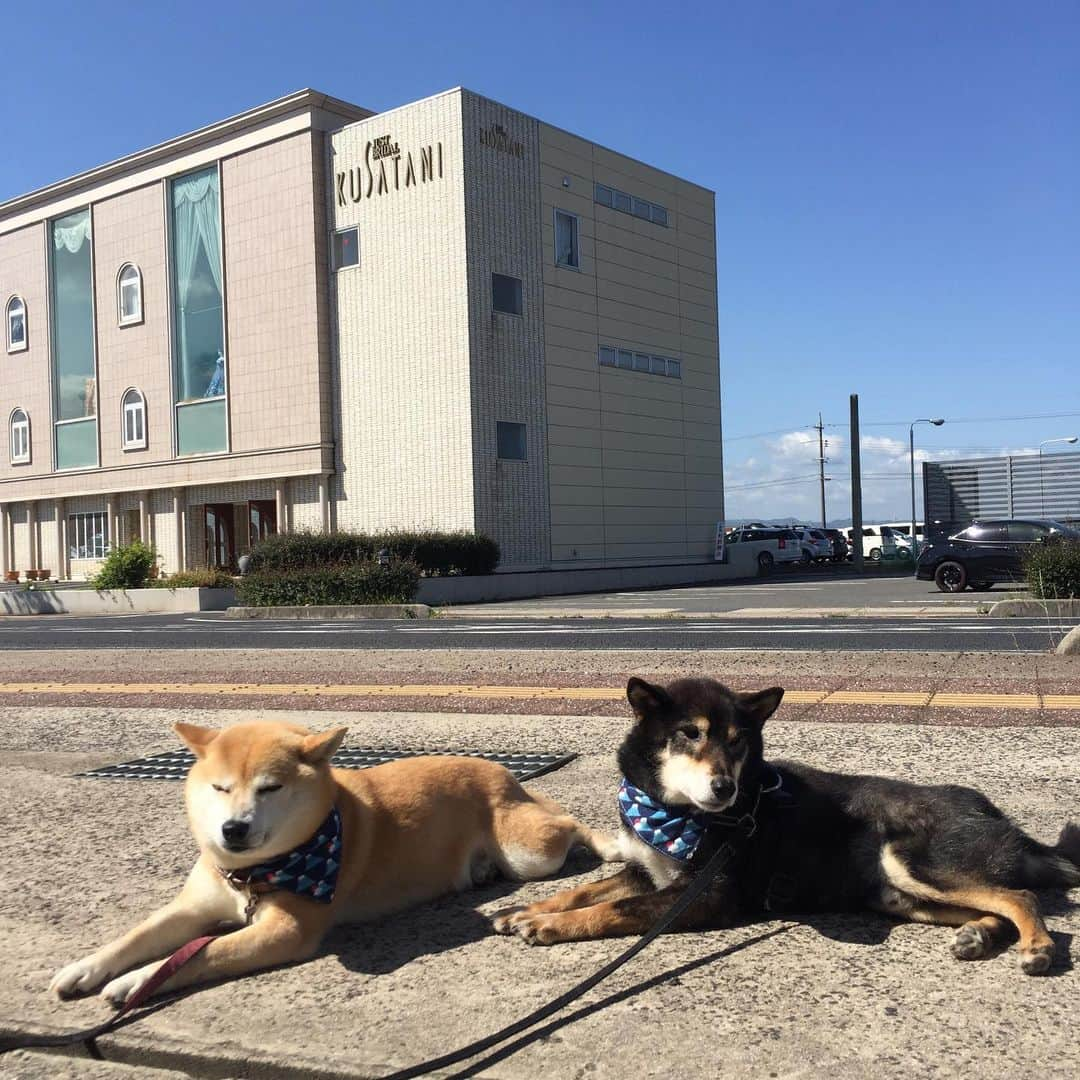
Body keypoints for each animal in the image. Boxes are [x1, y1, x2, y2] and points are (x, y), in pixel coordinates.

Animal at [54, 717, 622, 1002]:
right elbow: (137, 936)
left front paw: (135, 982)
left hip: (531, 853)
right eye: (219, 788)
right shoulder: (193, 905)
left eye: (270, 788)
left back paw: (607, 843)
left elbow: (201, 954)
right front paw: (87, 968)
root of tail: (503, 772)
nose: (232, 829)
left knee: (569, 824)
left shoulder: (286, 931)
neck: (254, 875)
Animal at [496, 673, 1080, 972]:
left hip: (915, 863)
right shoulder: (646, 868)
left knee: (1019, 897)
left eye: (738, 742)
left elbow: (612, 908)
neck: (673, 812)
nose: (725, 788)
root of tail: (998, 815)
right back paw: (979, 935)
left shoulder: (708, 894)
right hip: (898, 895)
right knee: (995, 905)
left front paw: (549, 926)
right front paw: (525, 909)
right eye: (690, 734)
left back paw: (1038, 947)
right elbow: (585, 889)